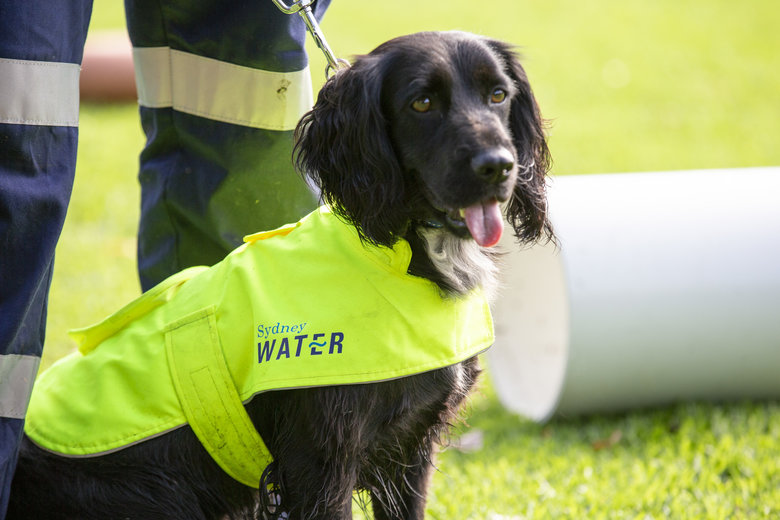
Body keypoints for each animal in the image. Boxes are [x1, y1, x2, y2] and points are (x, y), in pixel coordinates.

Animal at [9, 30, 552, 516]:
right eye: (421, 103)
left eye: (498, 94)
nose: (498, 166)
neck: (405, 254)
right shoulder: (318, 463)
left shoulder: (409, 454)